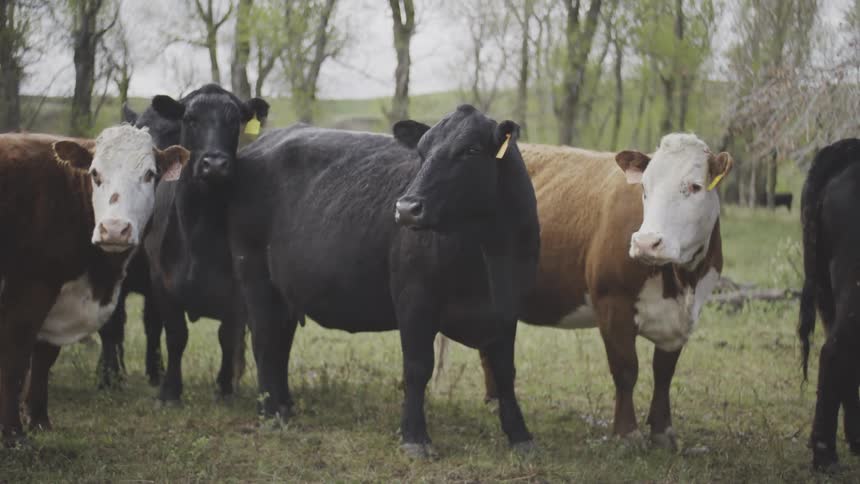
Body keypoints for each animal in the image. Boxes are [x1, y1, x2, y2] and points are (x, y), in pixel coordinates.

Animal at [0, 126, 188, 445]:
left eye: (150, 174)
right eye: (95, 173)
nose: (114, 229)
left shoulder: (56, 301)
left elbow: (43, 358)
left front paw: (39, 421)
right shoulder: (30, 290)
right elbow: (15, 361)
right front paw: (13, 435)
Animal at [141, 84, 269, 403]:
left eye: (234, 121)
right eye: (190, 119)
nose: (215, 164)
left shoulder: (237, 292)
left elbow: (228, 336)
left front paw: (224, 387)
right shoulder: (162, 283)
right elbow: (176, 336)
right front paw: (169, 391)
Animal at [227, 105, 540, 457]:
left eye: (471, 150)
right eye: (421, 152)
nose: (406, 208)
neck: (488, 254)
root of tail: (263, 142)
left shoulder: (508, 306)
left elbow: (505, 372)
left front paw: (520, 435)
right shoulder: (414, 298)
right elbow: (418, 367)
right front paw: (415, 437)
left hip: (286, 290)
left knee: (281, 342)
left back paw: (285, 406)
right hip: (254, 274)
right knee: (265, 341)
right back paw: (270, 413)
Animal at [434, 134, 730, 449]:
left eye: (695, 187)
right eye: (644, 188)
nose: (646, 243)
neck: (680, 282)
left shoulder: (681, 319)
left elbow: (664, 373)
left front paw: (663, 432)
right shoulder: (612, 302)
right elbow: (626, 369)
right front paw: (627, 433)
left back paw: (493, 399)